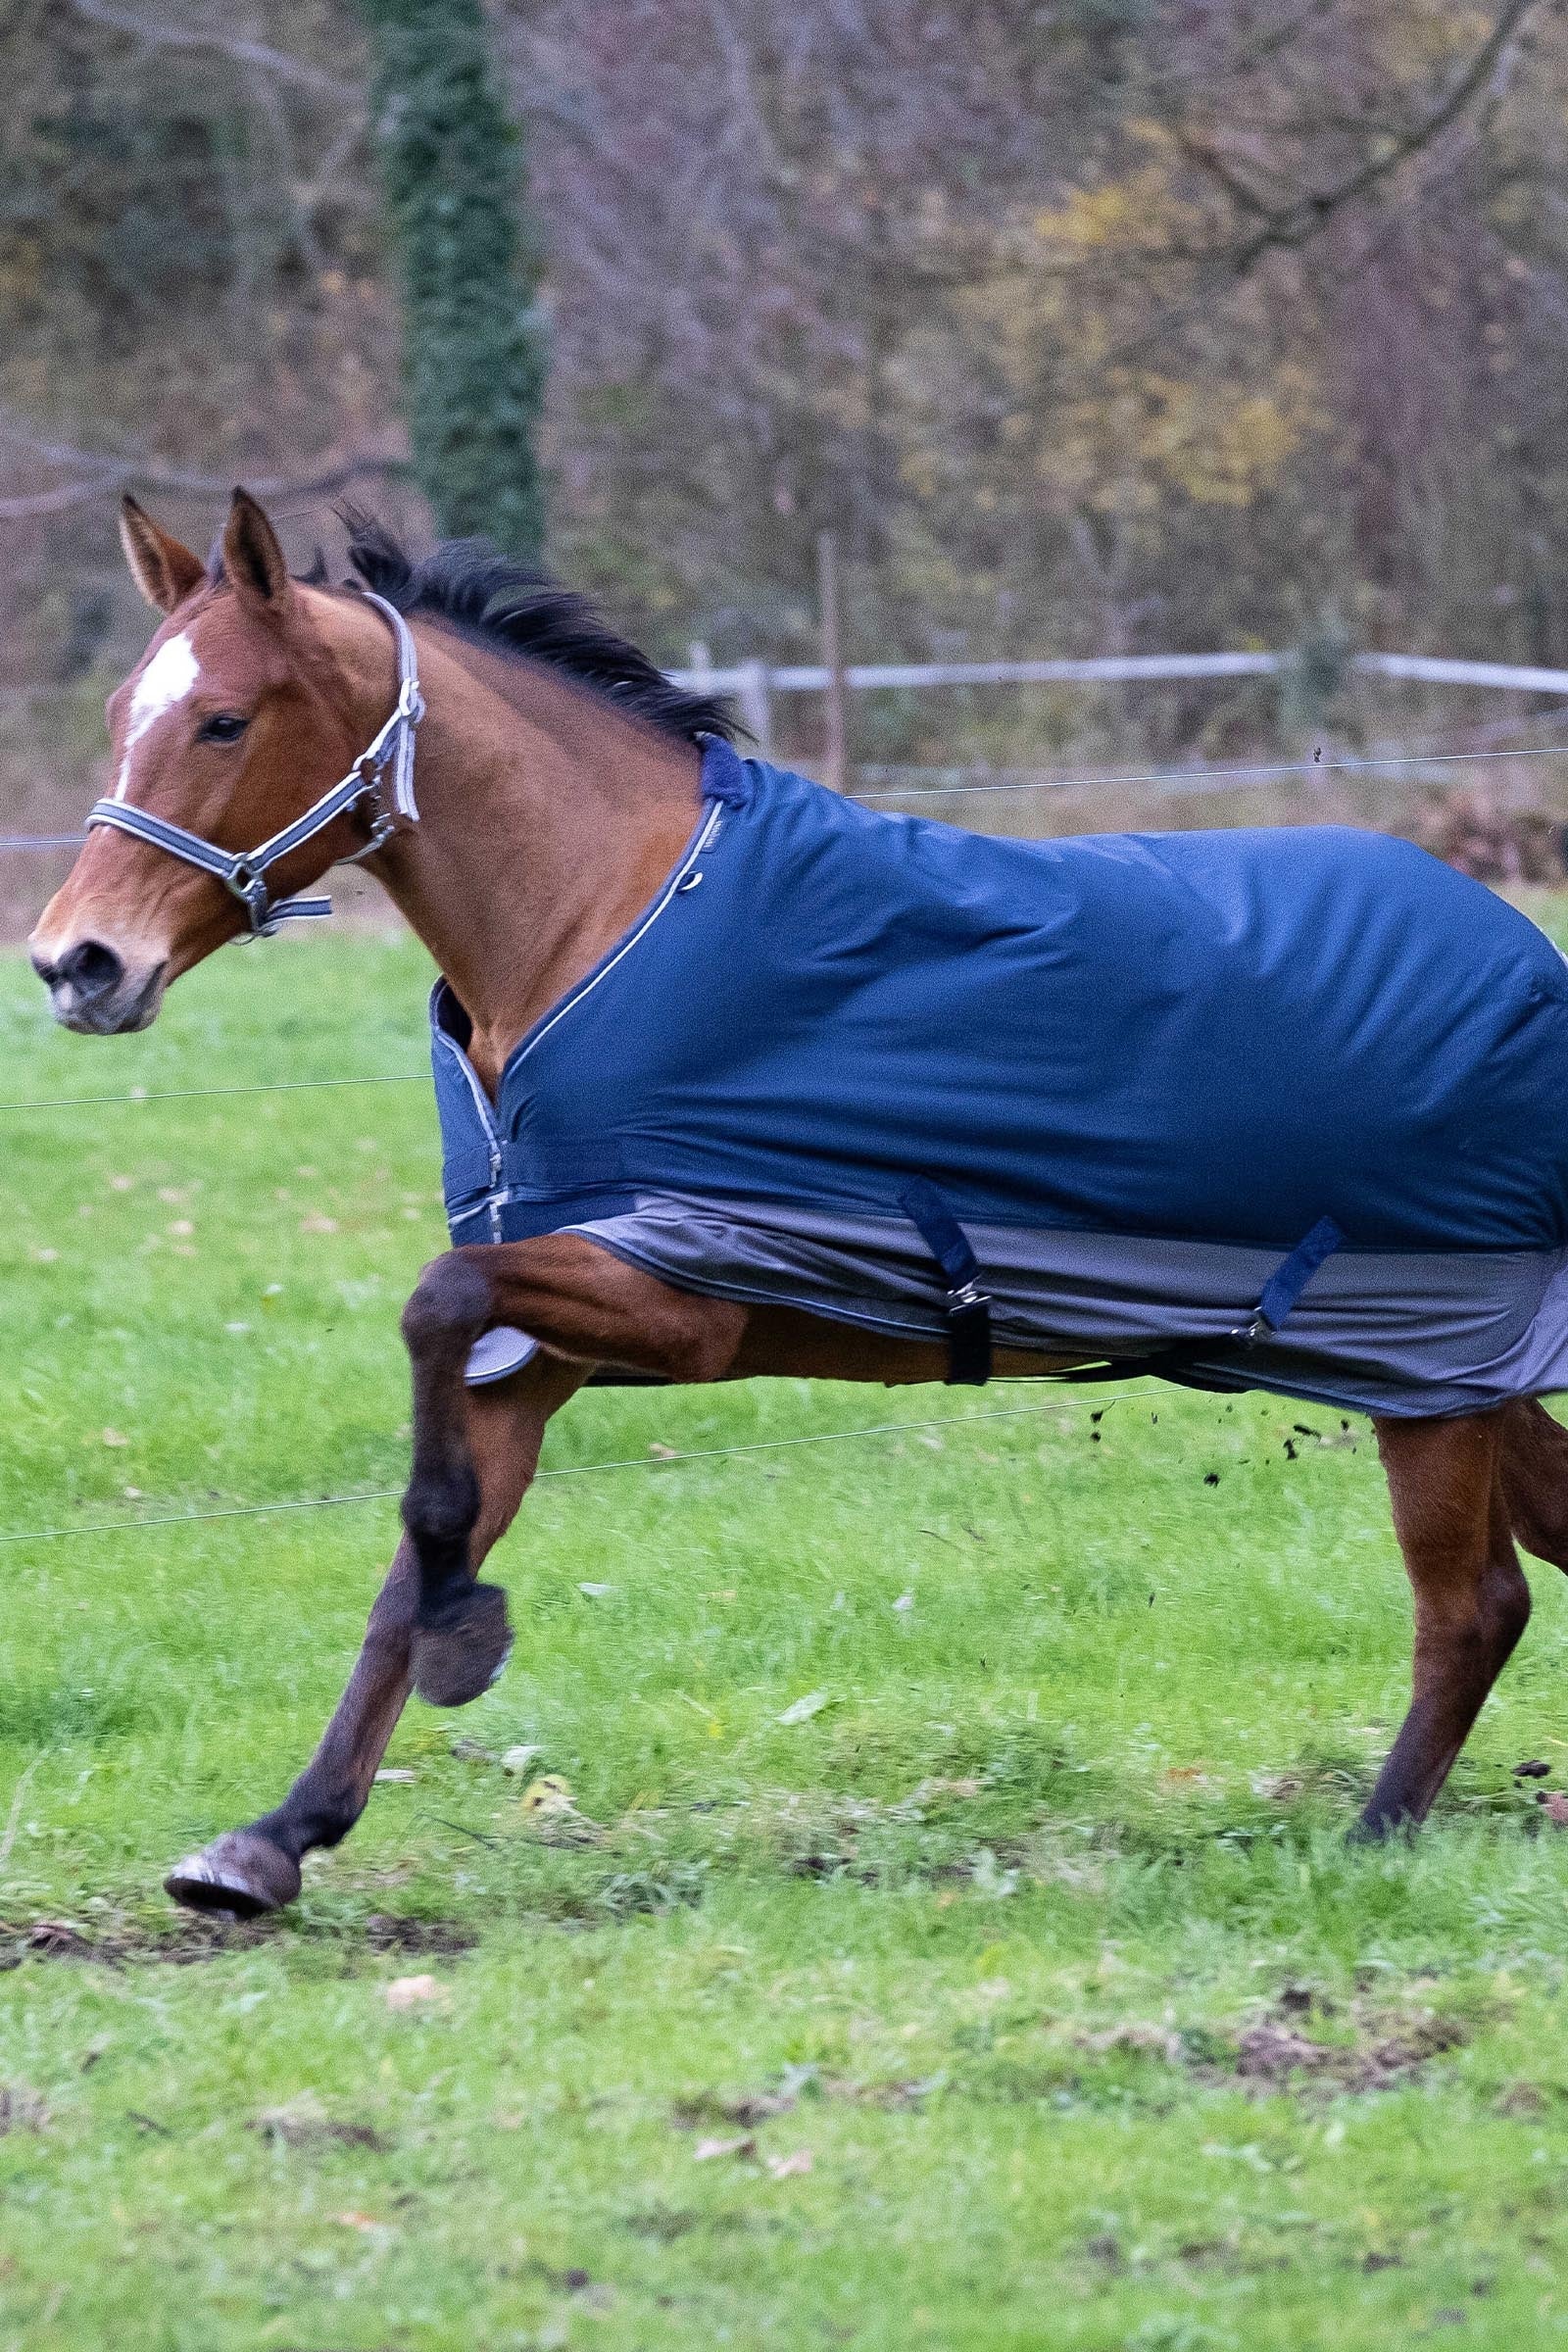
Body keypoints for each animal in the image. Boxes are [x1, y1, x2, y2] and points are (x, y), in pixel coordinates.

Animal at [27, 485, 1568, 1915]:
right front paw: (275, 1838)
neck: (606, 920)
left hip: (1437, 1378)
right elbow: (420, 1540)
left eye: (224, 721)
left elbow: (432, 1315)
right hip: (1455, 1378)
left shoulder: (674, 1297)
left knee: (1472, 1606)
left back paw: (1373, 1837)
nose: (76, 964)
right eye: (121, 711)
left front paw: (467, 1644)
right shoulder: (541, 1350)